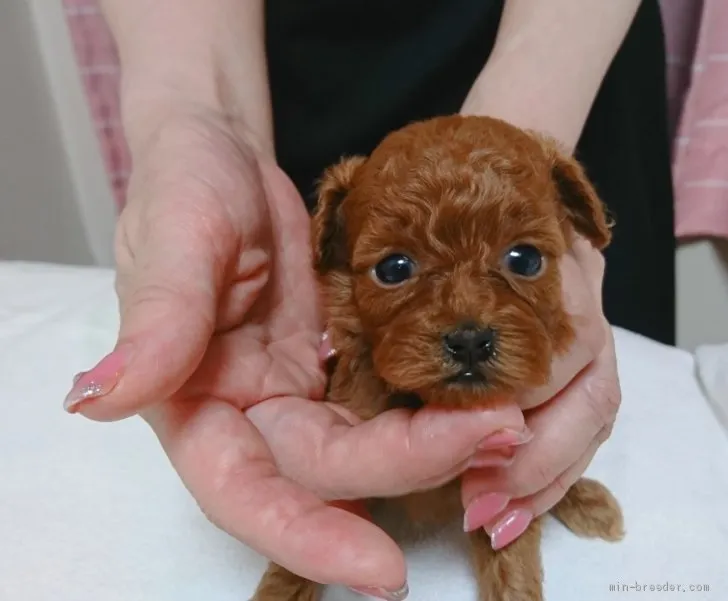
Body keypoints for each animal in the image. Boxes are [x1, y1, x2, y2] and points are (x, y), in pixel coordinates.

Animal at [250, 115, 620, 596]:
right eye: (393, 269)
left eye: (525, 259)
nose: (469, 340)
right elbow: (315, 524)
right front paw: (280, 590)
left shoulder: (504, 489)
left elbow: (511, 556)